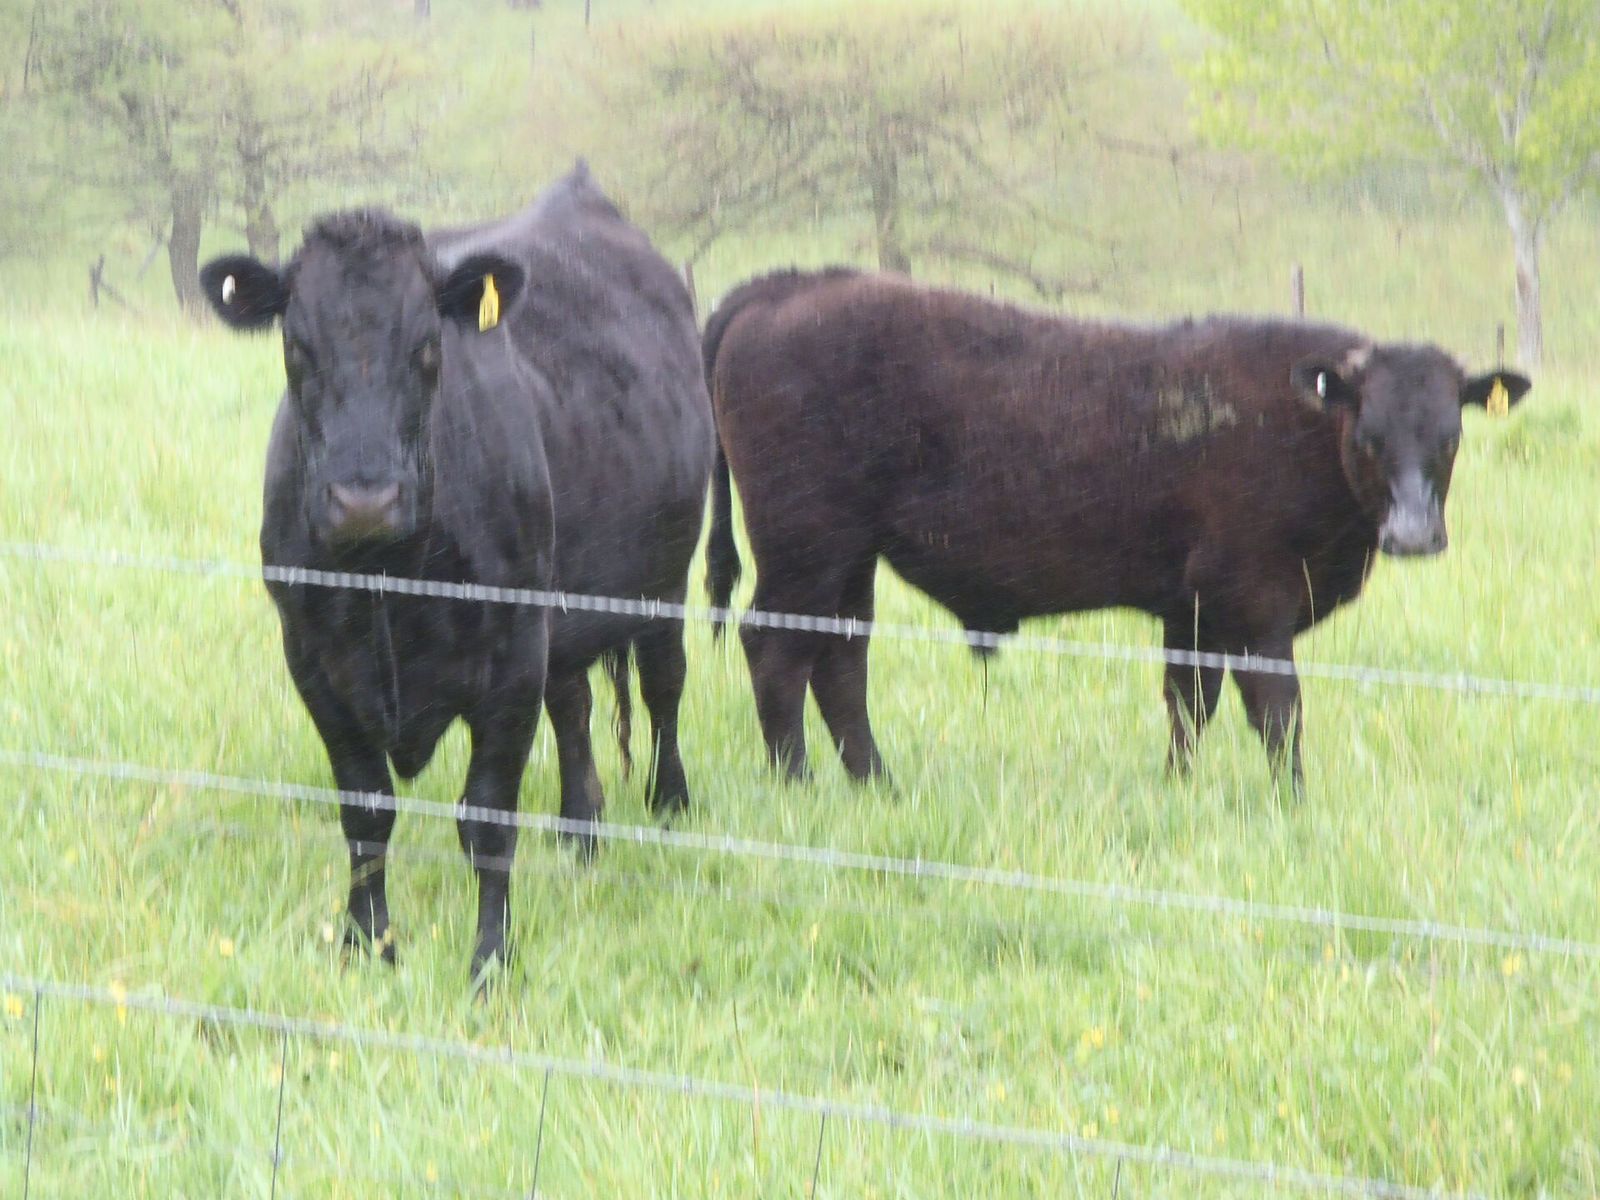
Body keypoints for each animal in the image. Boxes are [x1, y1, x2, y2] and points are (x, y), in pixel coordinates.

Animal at [199, 163, 714, 981]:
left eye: (427, 344)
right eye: (296, 343)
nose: (364, 498)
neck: (388, 579)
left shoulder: (510, 659)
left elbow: (487, 819)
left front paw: (490, 960)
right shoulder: (314, 659)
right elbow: (366, 810)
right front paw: (367, 944)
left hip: (664, 576)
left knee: (664, 688)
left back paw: (668, 807)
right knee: (574, 705)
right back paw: (581, 830)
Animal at [702, 269, 1529, 793]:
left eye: (1450, 435)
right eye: (1370, 435)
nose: (1414, 534)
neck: (1299, 423)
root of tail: (789, 285)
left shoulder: (1194, 613)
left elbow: (1190, 703)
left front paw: (1177, 789)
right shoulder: (1256, 603)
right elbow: (1277, 709)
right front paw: (1292, 802)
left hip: (848, 561)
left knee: (841, 660)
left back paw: (875, 783)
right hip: (805, 550)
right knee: (778, 648)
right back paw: (796, 782)